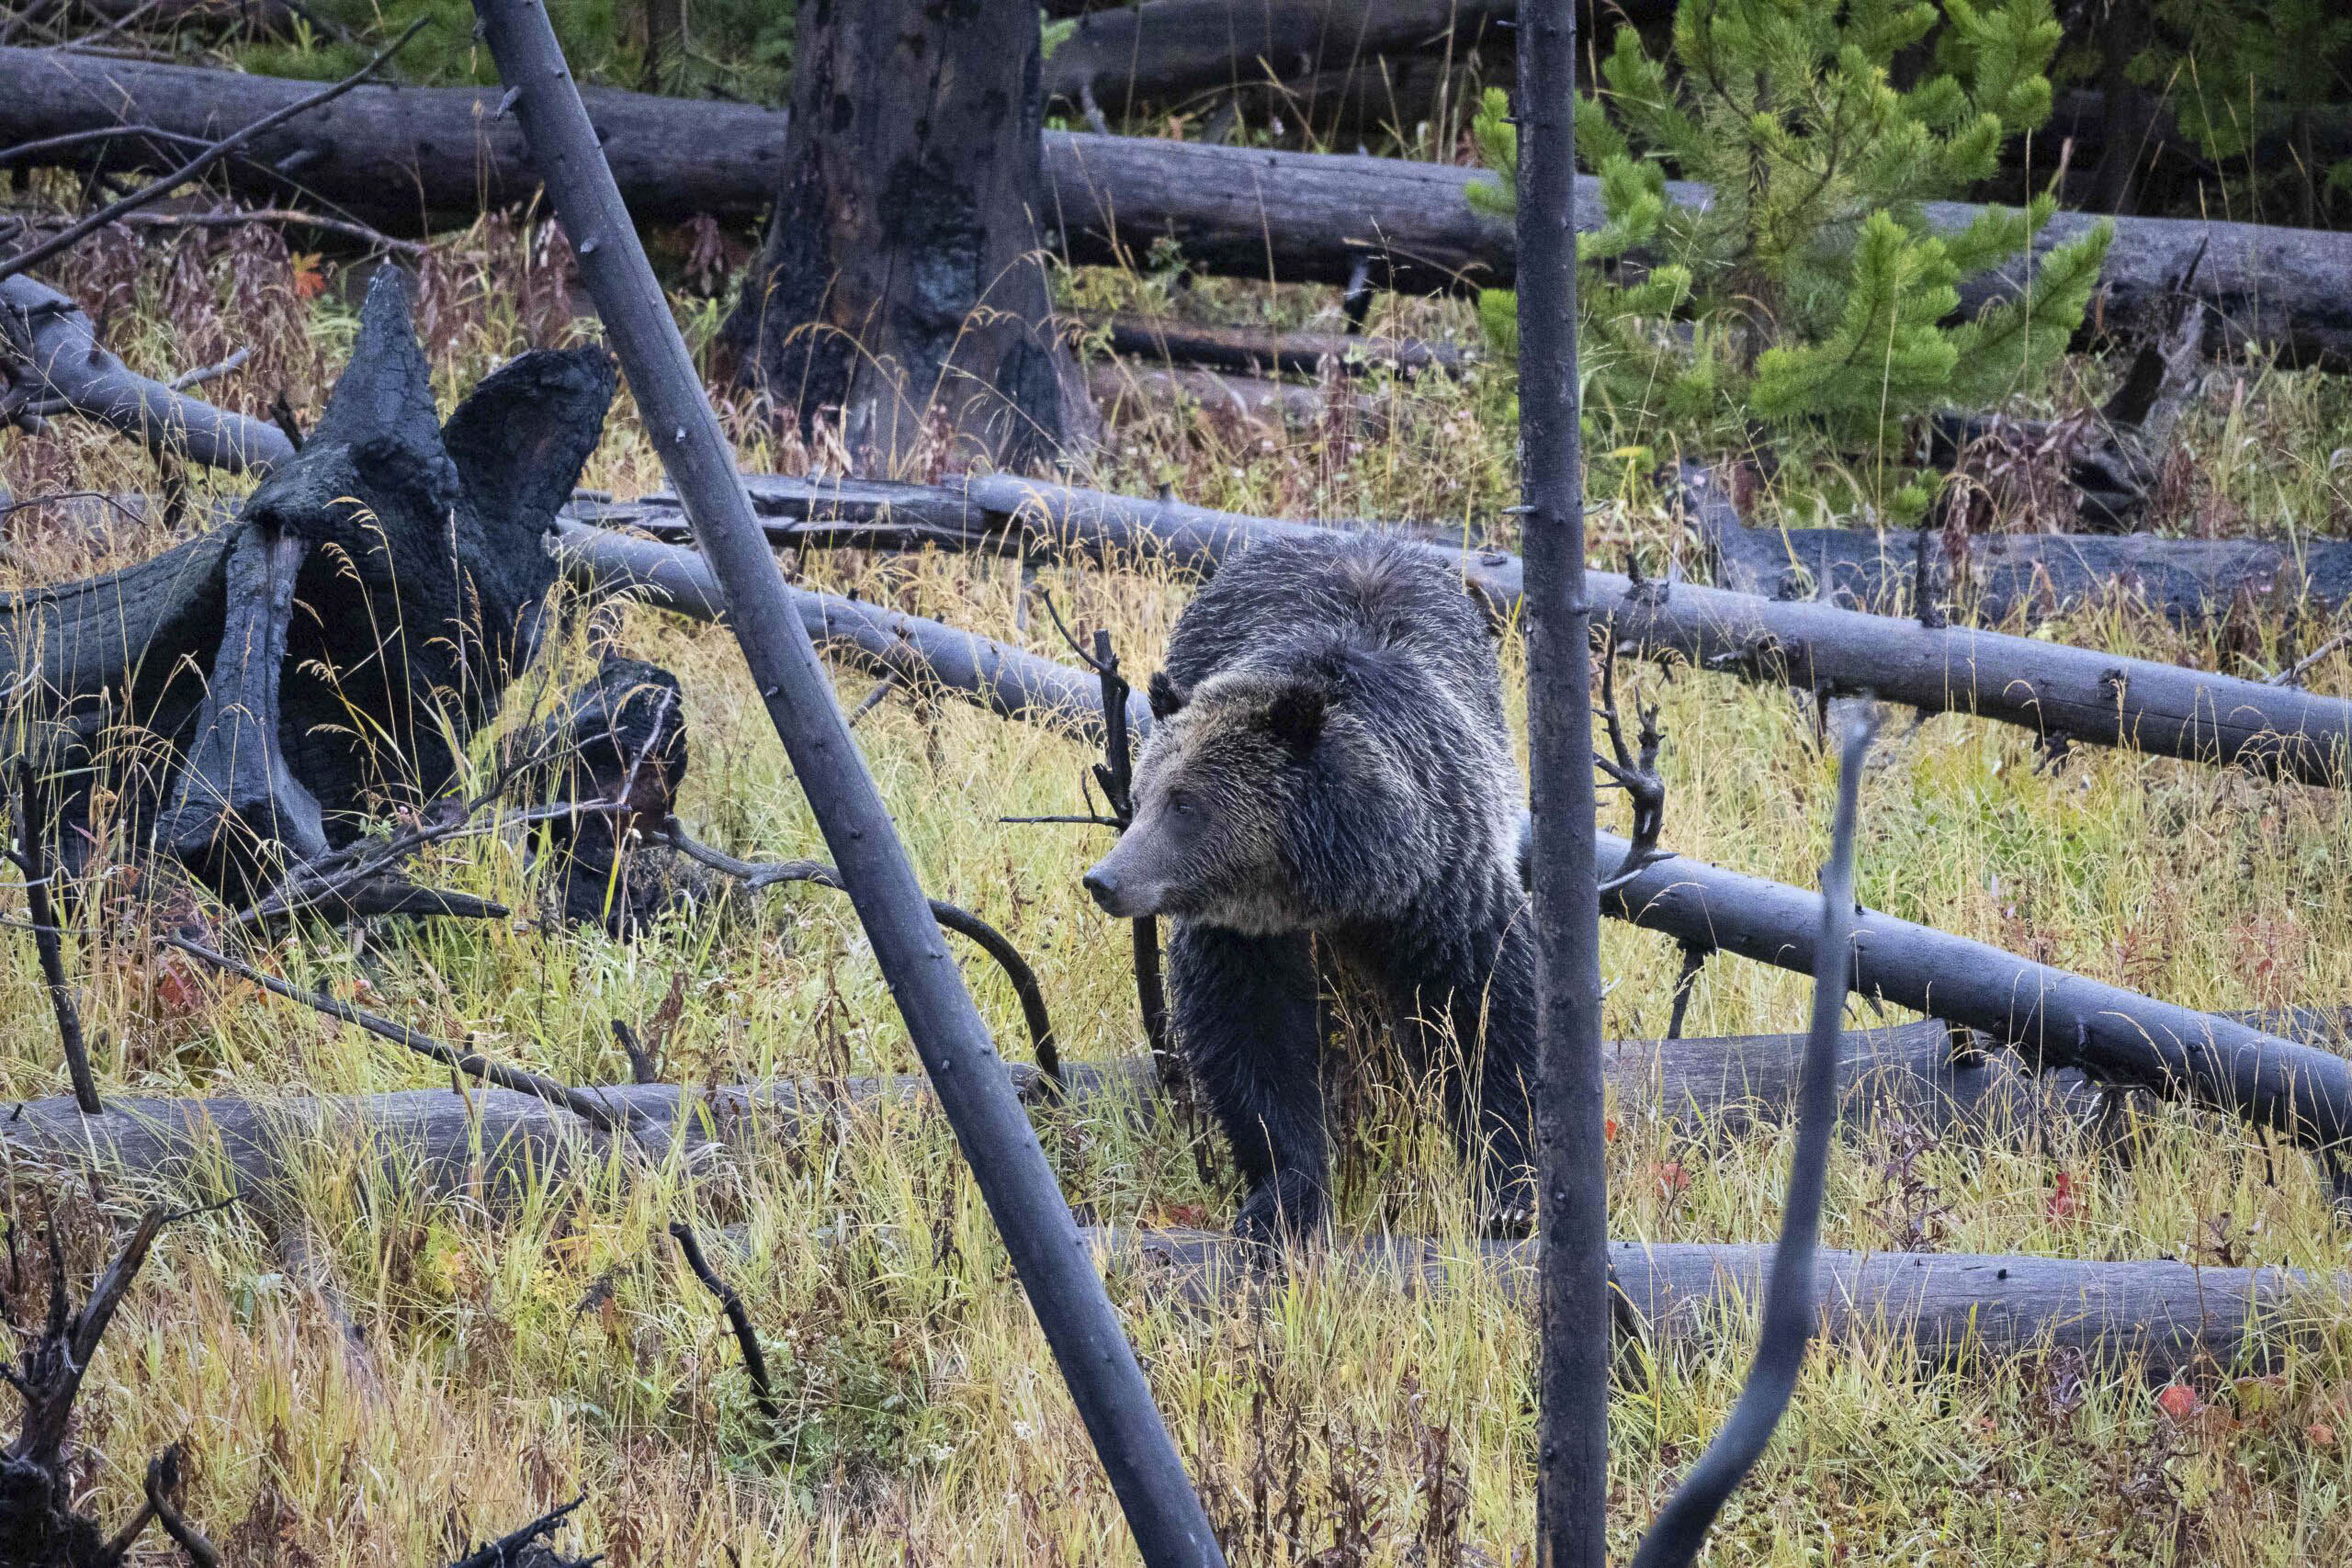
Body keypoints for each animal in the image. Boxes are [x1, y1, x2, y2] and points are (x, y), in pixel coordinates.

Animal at [1081, 533, 1543, 1241]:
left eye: (1185, 804)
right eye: (1143, 795)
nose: (1106, 880)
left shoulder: (1442, 891)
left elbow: (1486, 1015)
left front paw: (1506, 1192)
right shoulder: (1239, 936)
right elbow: (1253, 1044)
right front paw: (1283, 1199)